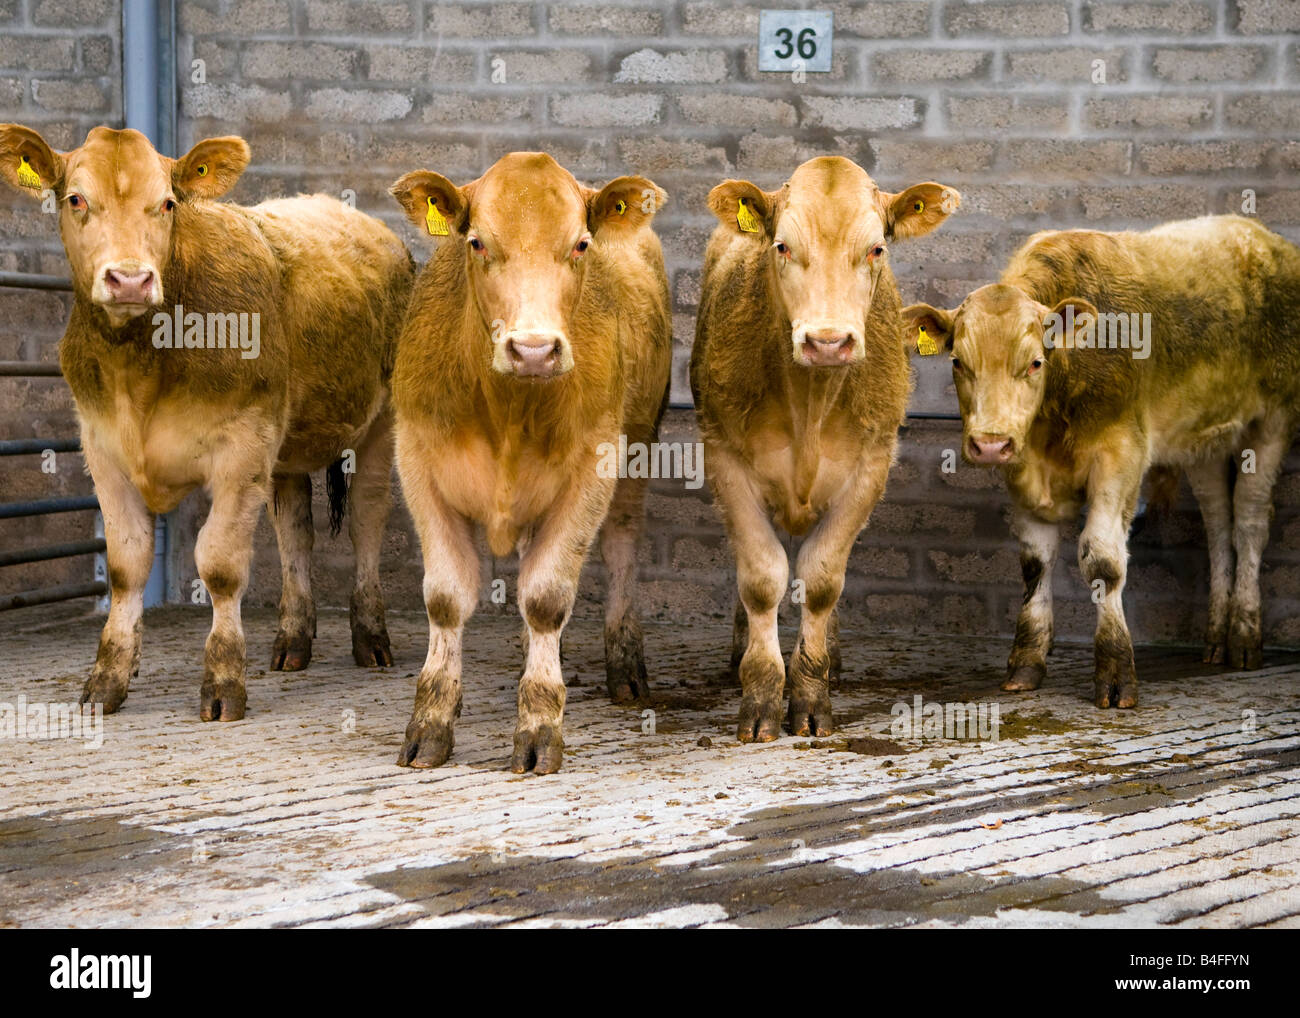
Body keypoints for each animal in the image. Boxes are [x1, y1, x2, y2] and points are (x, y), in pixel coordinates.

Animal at [0, 123, 410, 722]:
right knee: (295, 531)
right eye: (75, 199)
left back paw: (371, 638)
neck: (141, 371)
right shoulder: (102, 451)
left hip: (379, 425)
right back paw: (292, 640)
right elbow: (126, 565)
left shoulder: (242, 448)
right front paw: (107, 680)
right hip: (288, 447)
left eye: (168, 203)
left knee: (366, 520)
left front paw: (222, 682)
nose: (129, 280)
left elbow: (219, 564)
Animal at [384, 149, 670, 774]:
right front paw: (431, 720)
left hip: (638, 448)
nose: (534, 350)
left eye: (581, 244)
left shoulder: (593, 470)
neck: (507, 412)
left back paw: (625, 665)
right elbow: (446, 598)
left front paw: (539, 723)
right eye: (476, 242)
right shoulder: (417, 460)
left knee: (620, 548)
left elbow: (545, 598)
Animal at [691, 155, 956, 738]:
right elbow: (761, 577)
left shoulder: (870, 469)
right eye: (782, 246)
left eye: (876, 248)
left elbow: (822, 579)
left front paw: (811, 696)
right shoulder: (725, 459)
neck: (809, 404)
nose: (828, 342)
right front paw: (762, 698)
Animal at [909, 214, 1300, 707]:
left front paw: (1115, 671)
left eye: (1035, 363)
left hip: (1274, 418)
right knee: (1218, 522)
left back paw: (1245, 636)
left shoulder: (1122, 453)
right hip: (1204, 438)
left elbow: (1102, 560)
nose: (991, 444)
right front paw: (1026, 662)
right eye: (958, 361)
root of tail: (1260, 236)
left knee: (1249, 520)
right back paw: (1216, 637)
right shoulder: (1024, 468)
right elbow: (1035, 563)